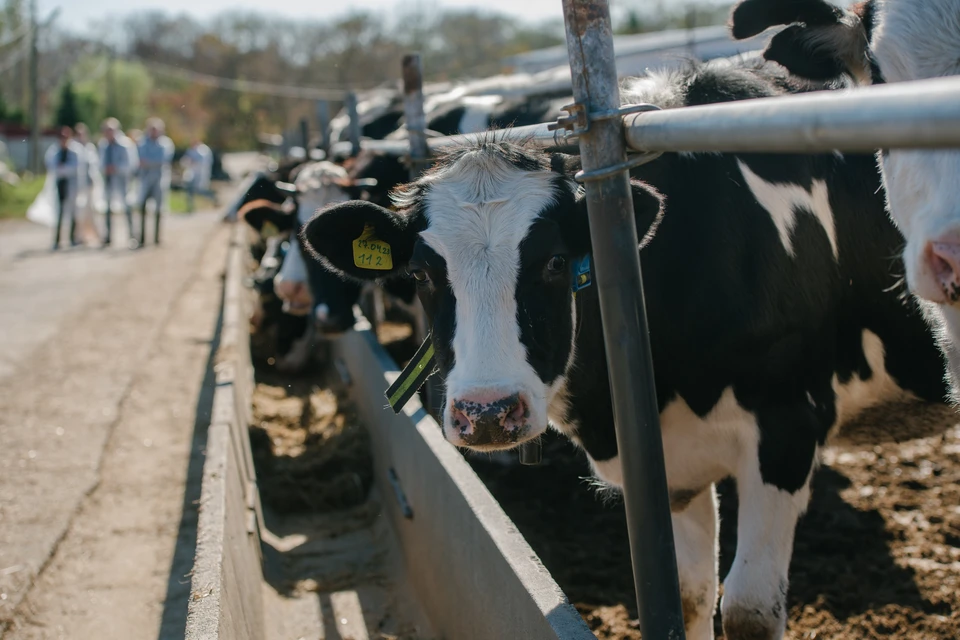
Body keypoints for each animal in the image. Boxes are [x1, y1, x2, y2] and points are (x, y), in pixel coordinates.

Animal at [300, 57, 952, 636]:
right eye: (423, 273)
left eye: (555, 262)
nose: (486, 413)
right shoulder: (675, 462)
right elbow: (689, 596)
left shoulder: (789, 425)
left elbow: (748, 611)